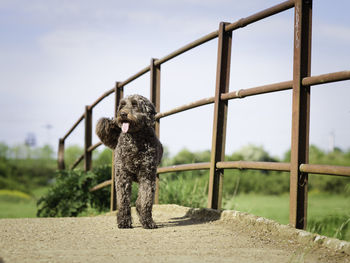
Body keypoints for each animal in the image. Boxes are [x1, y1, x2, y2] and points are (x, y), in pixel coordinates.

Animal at [95, 95, 162, 229]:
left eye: (135, 104)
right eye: (122, 105)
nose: (122, 114)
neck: (135, 141)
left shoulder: (147, 176)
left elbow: (145, 200)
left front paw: (148, 221)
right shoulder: (122, 176)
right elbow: (123, 201)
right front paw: (124, 221)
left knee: (140, 201)